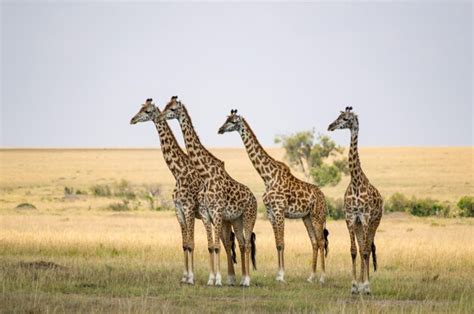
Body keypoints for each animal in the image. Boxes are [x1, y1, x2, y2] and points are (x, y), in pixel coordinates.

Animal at [131, 98, 236, 284]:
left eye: (147, 111)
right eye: (141, 108)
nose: (132, 119)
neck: (179, 172)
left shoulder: (188, 209)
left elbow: (191, 243)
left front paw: (191, 278)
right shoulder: (178, 210)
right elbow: (185, 244)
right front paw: (185, 277)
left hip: (223, 218)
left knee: (227, 243)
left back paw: (228, 278)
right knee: (225, 243)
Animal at [162, 97, 260, 288]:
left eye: (172, 108)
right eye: (165, 106)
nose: (220, 129)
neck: (206, 174)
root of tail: (254, 198)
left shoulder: (213, 212)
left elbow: (215, 246)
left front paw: (216, 280)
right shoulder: (206, 213)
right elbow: (211, 246)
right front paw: (211, 279)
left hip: (248, 217)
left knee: (246, 245)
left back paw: (246, 280)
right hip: (235, 220)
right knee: (240, 243)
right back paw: (240, 279)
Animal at [218, 109, 330, 284]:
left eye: (233, 121)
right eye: (226, 119)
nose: (220, 129)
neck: (267, 177)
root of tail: (323, 198)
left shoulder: (279, 211)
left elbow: (281, 243)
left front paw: (282, 275)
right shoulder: (271, 213)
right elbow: (277, 243)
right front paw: (278, 274)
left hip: (317, 215)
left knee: (320, 240)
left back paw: (322, 277)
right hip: (307, 217)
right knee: (314, 242)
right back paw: (311, 276)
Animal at [328, 107, 384, 294]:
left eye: (346, 118)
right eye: (338, 116)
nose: (330, 126)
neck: (356, 182)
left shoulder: (365, 217)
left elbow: (366, 251)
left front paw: (365, 286)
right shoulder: (351, 217)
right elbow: (353, 250)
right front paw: (354, 285)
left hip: (374, 223)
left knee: (368, 248)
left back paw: (366, 285)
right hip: (360, 225)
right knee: (361, 248)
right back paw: (360, 283)